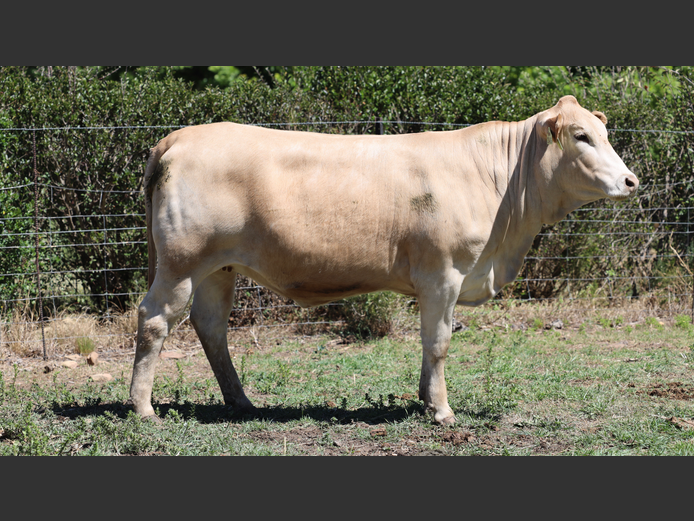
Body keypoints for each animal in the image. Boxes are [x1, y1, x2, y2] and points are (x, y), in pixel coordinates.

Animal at [129, 95, 638, 425]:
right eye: (581, 136)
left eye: (604, 133)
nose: (631, 181)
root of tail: (181, 137)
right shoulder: (443, 274)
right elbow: (439, 342)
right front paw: (442, 411)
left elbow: (428, 346)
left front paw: (425, 399)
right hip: (181, 262)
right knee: (154, 320)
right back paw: (143, 407)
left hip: (218, 267)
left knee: (211, 327)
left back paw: (241, 401)